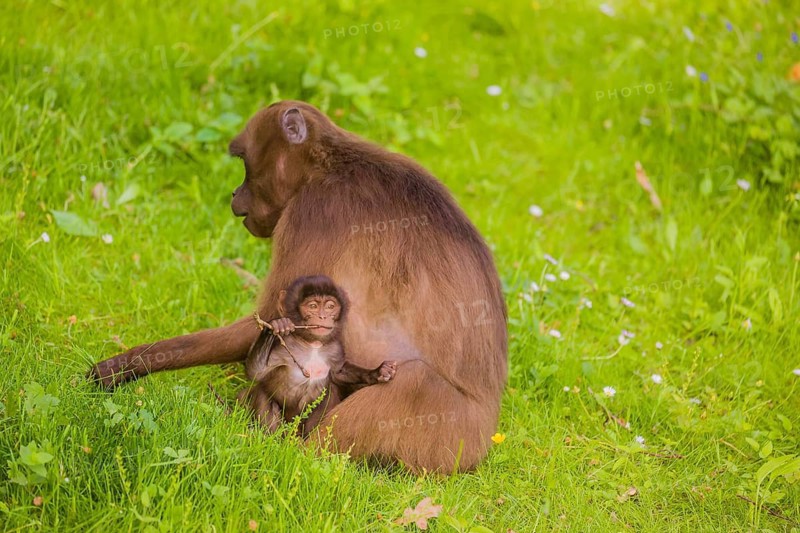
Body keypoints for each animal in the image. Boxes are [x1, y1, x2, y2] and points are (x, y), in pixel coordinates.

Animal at [239, 275, 396, 436]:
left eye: (330, 306)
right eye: (313, 306)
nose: (322, 316)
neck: (313, 345)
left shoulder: (335, 348)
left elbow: (338, 373)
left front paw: (378, 372)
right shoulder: (284, 346)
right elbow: (256, 373)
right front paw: (276, 326)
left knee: (331, 391)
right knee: (261, 393)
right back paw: (274, 438)